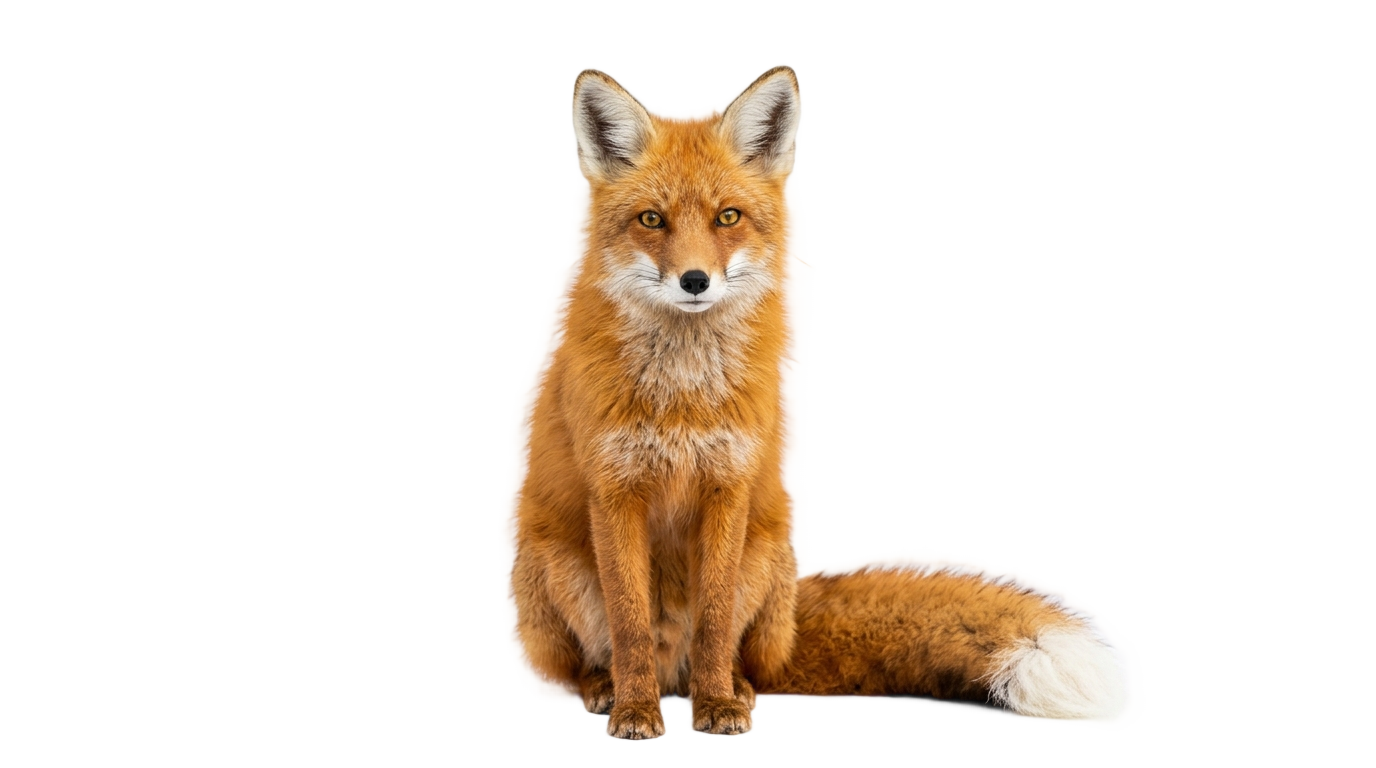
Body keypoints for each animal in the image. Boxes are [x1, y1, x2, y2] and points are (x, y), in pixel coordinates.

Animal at [510, 67, 1120, 738]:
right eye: (652, 219)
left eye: (728, 217)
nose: (695, 281)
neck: (684, 396)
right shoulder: (616, 491)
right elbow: (629, 626)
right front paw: (634, 713)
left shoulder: (728, 485)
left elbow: (715, 620)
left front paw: (717, 707)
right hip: (554, 567)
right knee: (593, 661)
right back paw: (609, 690)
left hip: (764, 558)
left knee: (740, 661)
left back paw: (729, 689)